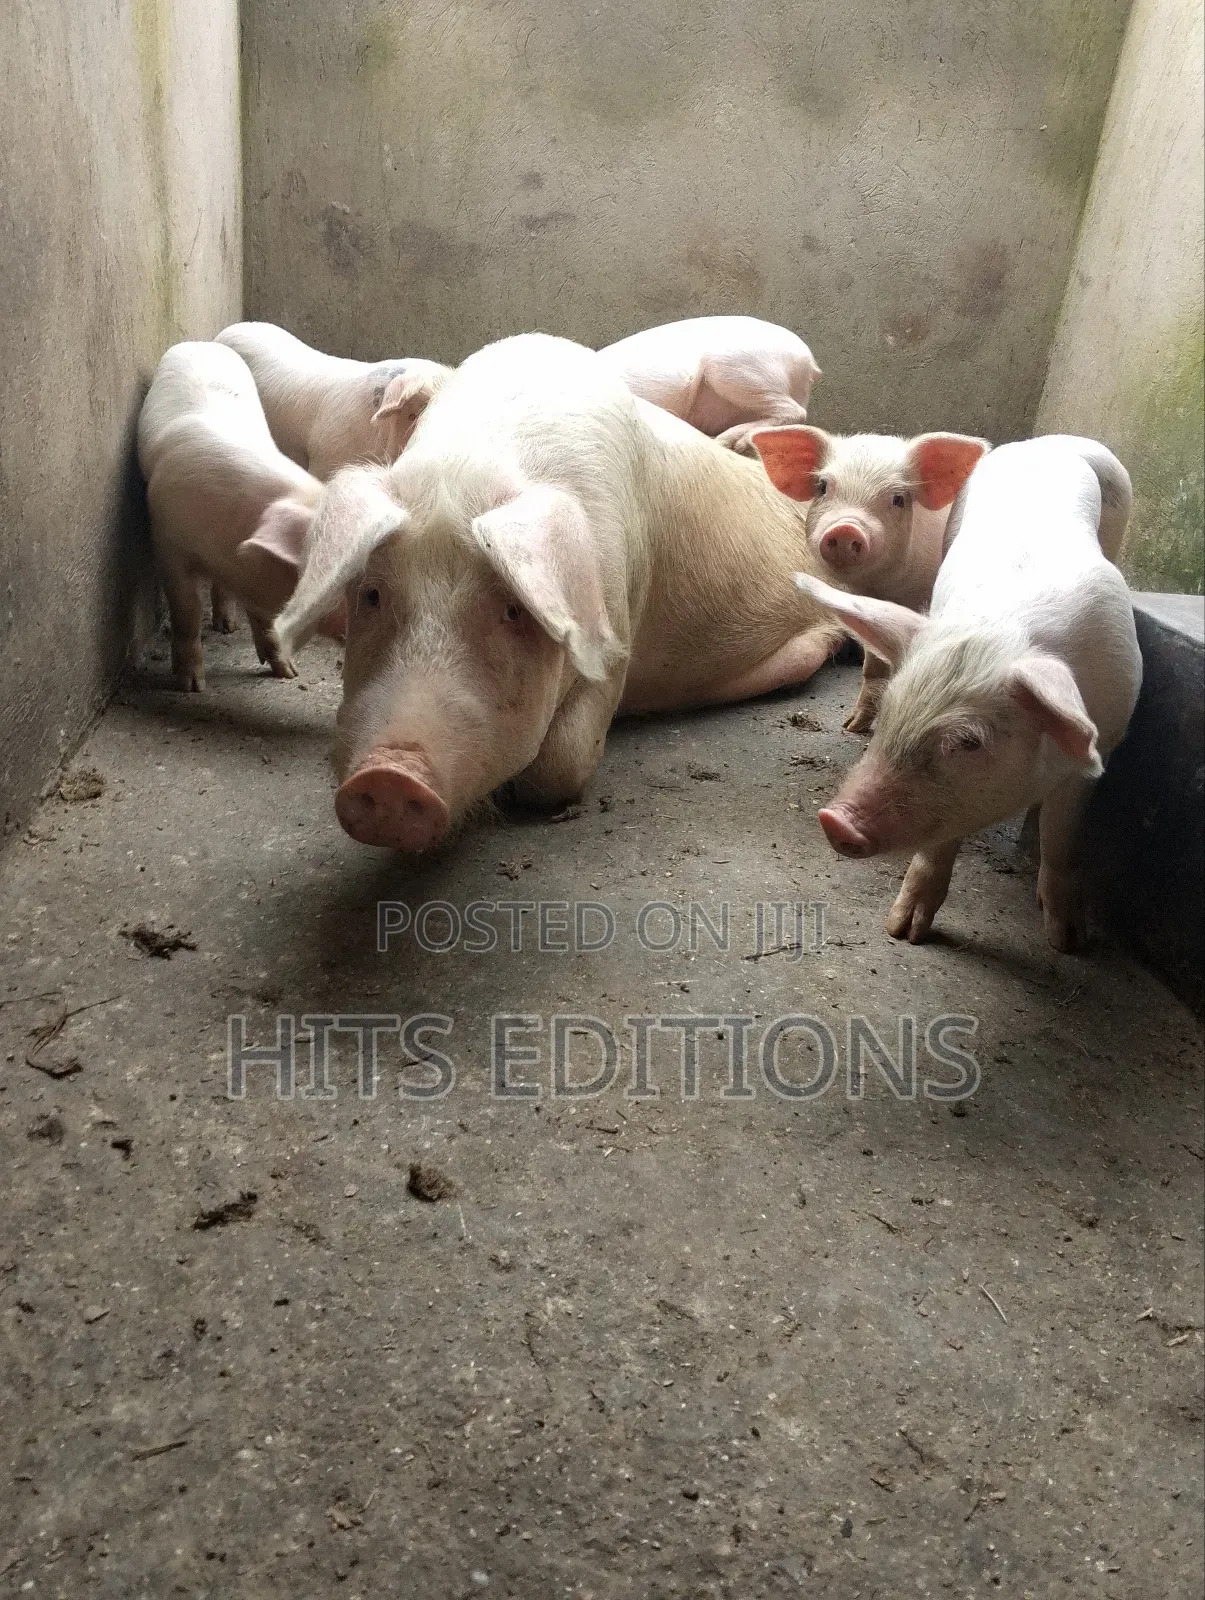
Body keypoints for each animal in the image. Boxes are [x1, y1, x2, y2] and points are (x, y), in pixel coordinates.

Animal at [137, 341, 345, 690]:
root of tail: (201, 342)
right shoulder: (167, 543)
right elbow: (187, 610)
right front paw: (192, 686)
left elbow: (266, 620)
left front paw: (289, 673)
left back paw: (228, 627)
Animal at [268, 333, 845, 852]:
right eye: (371, 595)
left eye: (512, 609)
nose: (388, 776)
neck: (471, 471)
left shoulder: (619, 626)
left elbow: (560, 764)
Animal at [753, 426, 990, 732]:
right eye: (823, 487)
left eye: (898, 498)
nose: (845, 528)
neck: (883, 588)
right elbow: (873, 667)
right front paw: (852, 727)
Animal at [795, 435, 1141, 952]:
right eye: (890, 712)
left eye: (968, 742)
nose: (835, 820)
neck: (1000, 631)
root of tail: (1050, 440)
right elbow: (939, 842)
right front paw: (904, 932)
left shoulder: (1107, 739)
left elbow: (1062, 834)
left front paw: (1067, 941)